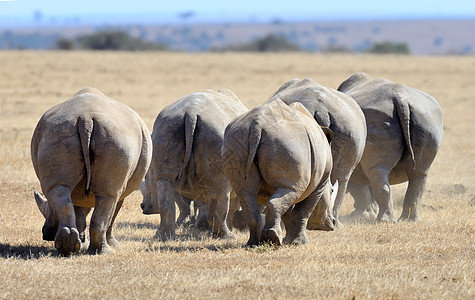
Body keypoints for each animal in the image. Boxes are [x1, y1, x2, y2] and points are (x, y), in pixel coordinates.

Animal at [32, 87, 151, 255]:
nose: (45, 234)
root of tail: (85, 118)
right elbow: (111, 213)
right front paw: (110, 245)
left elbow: (83, 212)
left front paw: (81, 244)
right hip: (115, 138)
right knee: (107, 196)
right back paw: (103, 251)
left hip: (58, 132)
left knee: (59, 189)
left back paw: (67, 246)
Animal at [140, 88, 249, 240]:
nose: (143, 206)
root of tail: (190, 114)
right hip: (215, 133)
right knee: (221, 188)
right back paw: (227, 236)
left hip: (166, 126)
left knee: (166, 181)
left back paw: (163, 237)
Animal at [222, 100, 336, 246]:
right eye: (331, 191)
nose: (333, 223)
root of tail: (257, 125)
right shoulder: (319, 184)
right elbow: (303, 211)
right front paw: (300, 243)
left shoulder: (296, 184)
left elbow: (288, 212)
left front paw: (288, 241)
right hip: (288, 143)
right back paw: (272, 239)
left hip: (237, 140)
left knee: (245, 193)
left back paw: (254, 243)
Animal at [268, 78, 368, 226]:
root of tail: (321, 111)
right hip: (348, 126)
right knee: (342, 177)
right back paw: (336, 223)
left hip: (346, 126)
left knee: (340, 177)